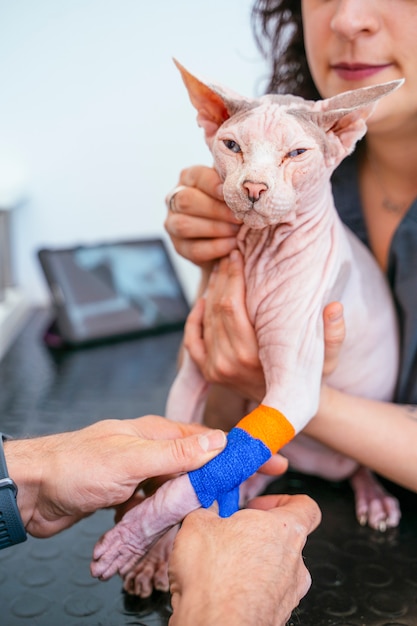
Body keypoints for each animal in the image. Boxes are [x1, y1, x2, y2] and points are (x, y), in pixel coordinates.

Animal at [90, 63, 400, 596]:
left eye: (297, 153)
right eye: (232, 145)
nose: (254, 187)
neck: (259, 253)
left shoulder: (293, 390)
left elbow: (187, 483)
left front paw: (133, 534)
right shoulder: (191, 373)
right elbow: (182, 466)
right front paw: (157, 554)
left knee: (355, 465)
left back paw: (373, 497)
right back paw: (249, 486)